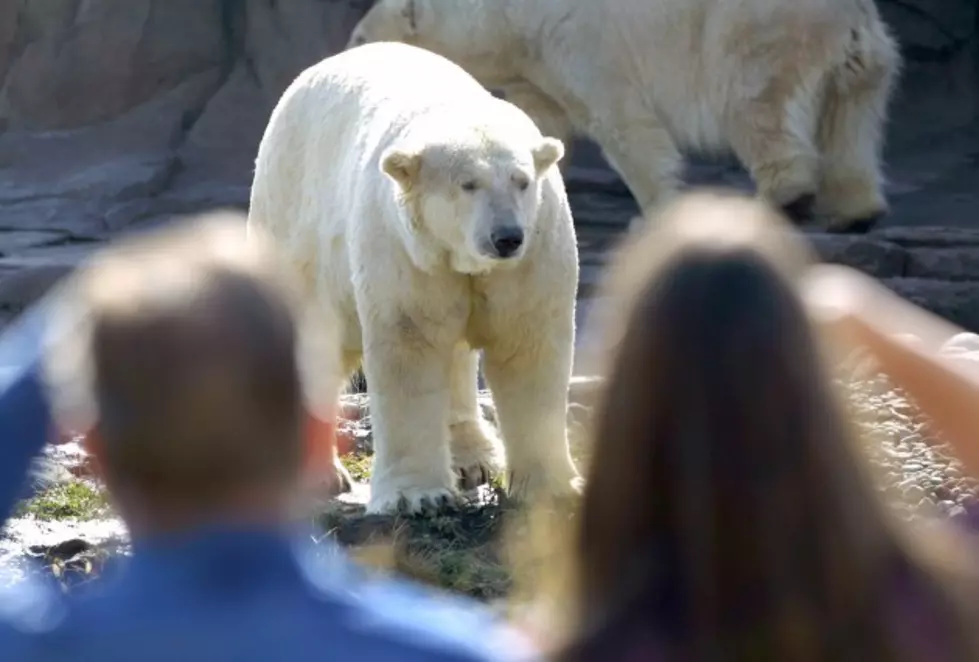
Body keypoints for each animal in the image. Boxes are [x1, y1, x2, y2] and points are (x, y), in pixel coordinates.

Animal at [247, 41, 582, 515]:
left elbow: (526, 345)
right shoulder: (407, 253)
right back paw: (318, 474)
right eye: (468, 184)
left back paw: (472, 459)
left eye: (521, 181)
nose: (506, 237)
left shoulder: (531, 255)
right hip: (292, 220)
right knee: (313, 342)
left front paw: (553, 487)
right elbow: (411, 347)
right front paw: (416, 496)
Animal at [346, 0, 901, 233]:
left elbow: (625, 124)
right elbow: (537, 122)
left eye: (359, 37)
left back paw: (785, 198)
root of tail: (850, 11)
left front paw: (653, 212)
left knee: (756, 106)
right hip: (863, 58)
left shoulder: (581, 44)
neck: (511, 20)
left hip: (760, 35)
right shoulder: (536, 68)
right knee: (850, 123)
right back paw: (854, 211)